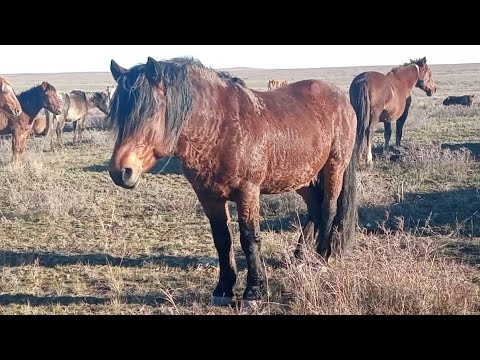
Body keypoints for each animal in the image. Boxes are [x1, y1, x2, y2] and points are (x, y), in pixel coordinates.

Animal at [106, 57, 360, 306]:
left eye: (148, 113)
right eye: (118, 114)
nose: (121, 171)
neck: (220, 128)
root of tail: (341, 98)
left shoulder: (247, 192)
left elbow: (249, 238)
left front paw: (254, 292)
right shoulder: (209, 196)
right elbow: (222, 239)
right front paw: (223, 289)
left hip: (334, 166)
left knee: (328, 208)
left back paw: (320, 258)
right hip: (300, 176)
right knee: (315, 206)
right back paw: (299, 255)